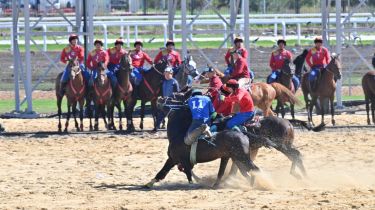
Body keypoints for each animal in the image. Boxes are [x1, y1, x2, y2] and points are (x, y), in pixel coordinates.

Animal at [144, 106, 276, 189]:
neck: (179, 135)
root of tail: (243, 134)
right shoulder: (174, 160)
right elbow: (163, 172)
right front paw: (149, 183)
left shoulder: (179, 160)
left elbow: (186, 174)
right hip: (235, 157)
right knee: (241, 172)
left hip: (242, 157)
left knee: (255, 169)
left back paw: (254, 184)